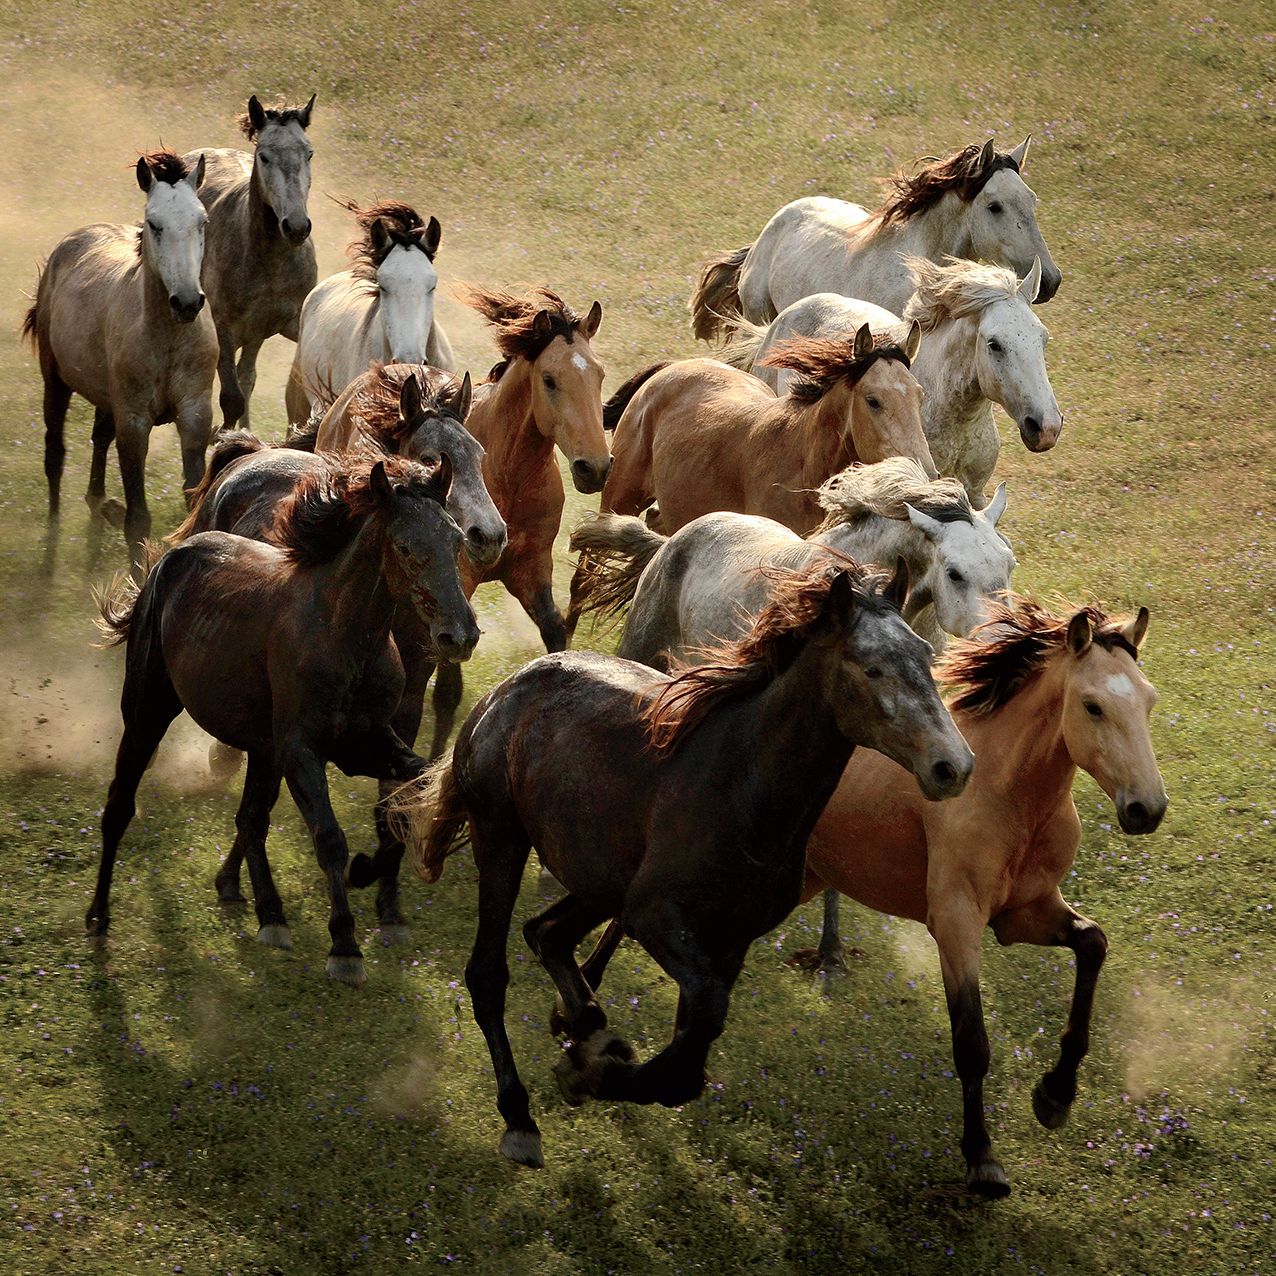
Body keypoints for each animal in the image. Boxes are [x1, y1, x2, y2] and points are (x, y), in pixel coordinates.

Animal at [22, 150, 217, 573]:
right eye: (154, 224)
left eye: (202, 221)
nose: (187, 302)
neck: (167, 338)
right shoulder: (134, 423)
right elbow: (137, 518)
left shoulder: (195, 416)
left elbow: (194, 498)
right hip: (55, 381)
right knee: (54, 453)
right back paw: (54, 530)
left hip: (105, 397)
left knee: (98, 439)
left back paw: (96, 503)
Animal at [91, 454, 480, 987]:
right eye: (405, 547)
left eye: (456, 540)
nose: (460, 635)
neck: (344, 635)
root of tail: (175, 556)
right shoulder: (302, 751)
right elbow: (329, 838)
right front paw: (344, 945)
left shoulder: (367, 744)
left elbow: (404, 798)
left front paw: (369, 877)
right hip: (148, 711)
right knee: (120, 804)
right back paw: (98, 916)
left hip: (260, 748)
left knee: (251, 818)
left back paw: (267, 911)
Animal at [185, 94, 317, 430]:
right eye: (264, 156)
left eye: (308, 153)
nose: (296, 227)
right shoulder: (223, 328)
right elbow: (231, 399)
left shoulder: (293, 321)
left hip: (255, 335)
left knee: (248, 376)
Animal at [389, 557, 974, 1167]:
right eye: (872, 668)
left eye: (924, 655)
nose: (952, 766)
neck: (743, 786)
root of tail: (500, 693)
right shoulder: (655, 917)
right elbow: (701, 1022)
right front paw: (591, 1074)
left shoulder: (732, 936)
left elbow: (690, 1057)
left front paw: (590, 1062)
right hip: (503, 840)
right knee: (488, 972)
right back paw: (521, 1116)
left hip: (601, 880)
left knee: (546, 933)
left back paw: (582, 1026)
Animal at [565, 598, 1167, 1197]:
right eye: (1092, 706)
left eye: (1149, 701)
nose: (1147, 809)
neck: (1007, 795)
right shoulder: (956, 923)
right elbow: (971, 1041)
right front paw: (983, 1160)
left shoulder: (1025, 914)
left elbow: (1093, 944)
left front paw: (1055, 1096)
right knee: (623, 918)